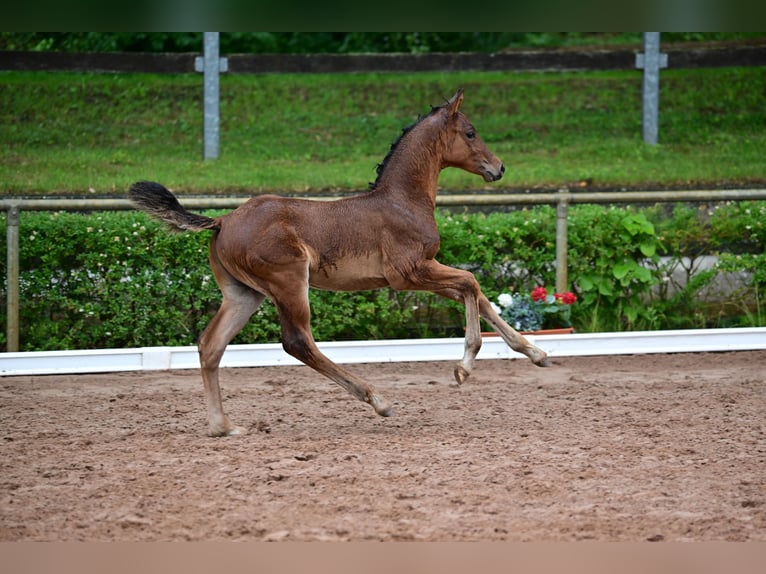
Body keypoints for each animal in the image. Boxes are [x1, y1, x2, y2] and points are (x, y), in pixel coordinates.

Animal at [132, 89, 552, 436]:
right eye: (470, 132)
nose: (499, 168)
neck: (402, 200)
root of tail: (222, 220)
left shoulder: (424, 271)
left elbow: (477, 295)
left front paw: (537, 354)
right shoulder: (408, 274)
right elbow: (470, 283)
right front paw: (463, 368)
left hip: (244, 295)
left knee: (210, 344)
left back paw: (223, 426)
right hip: (289, 284)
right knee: (297, 342)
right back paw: (377, 400)